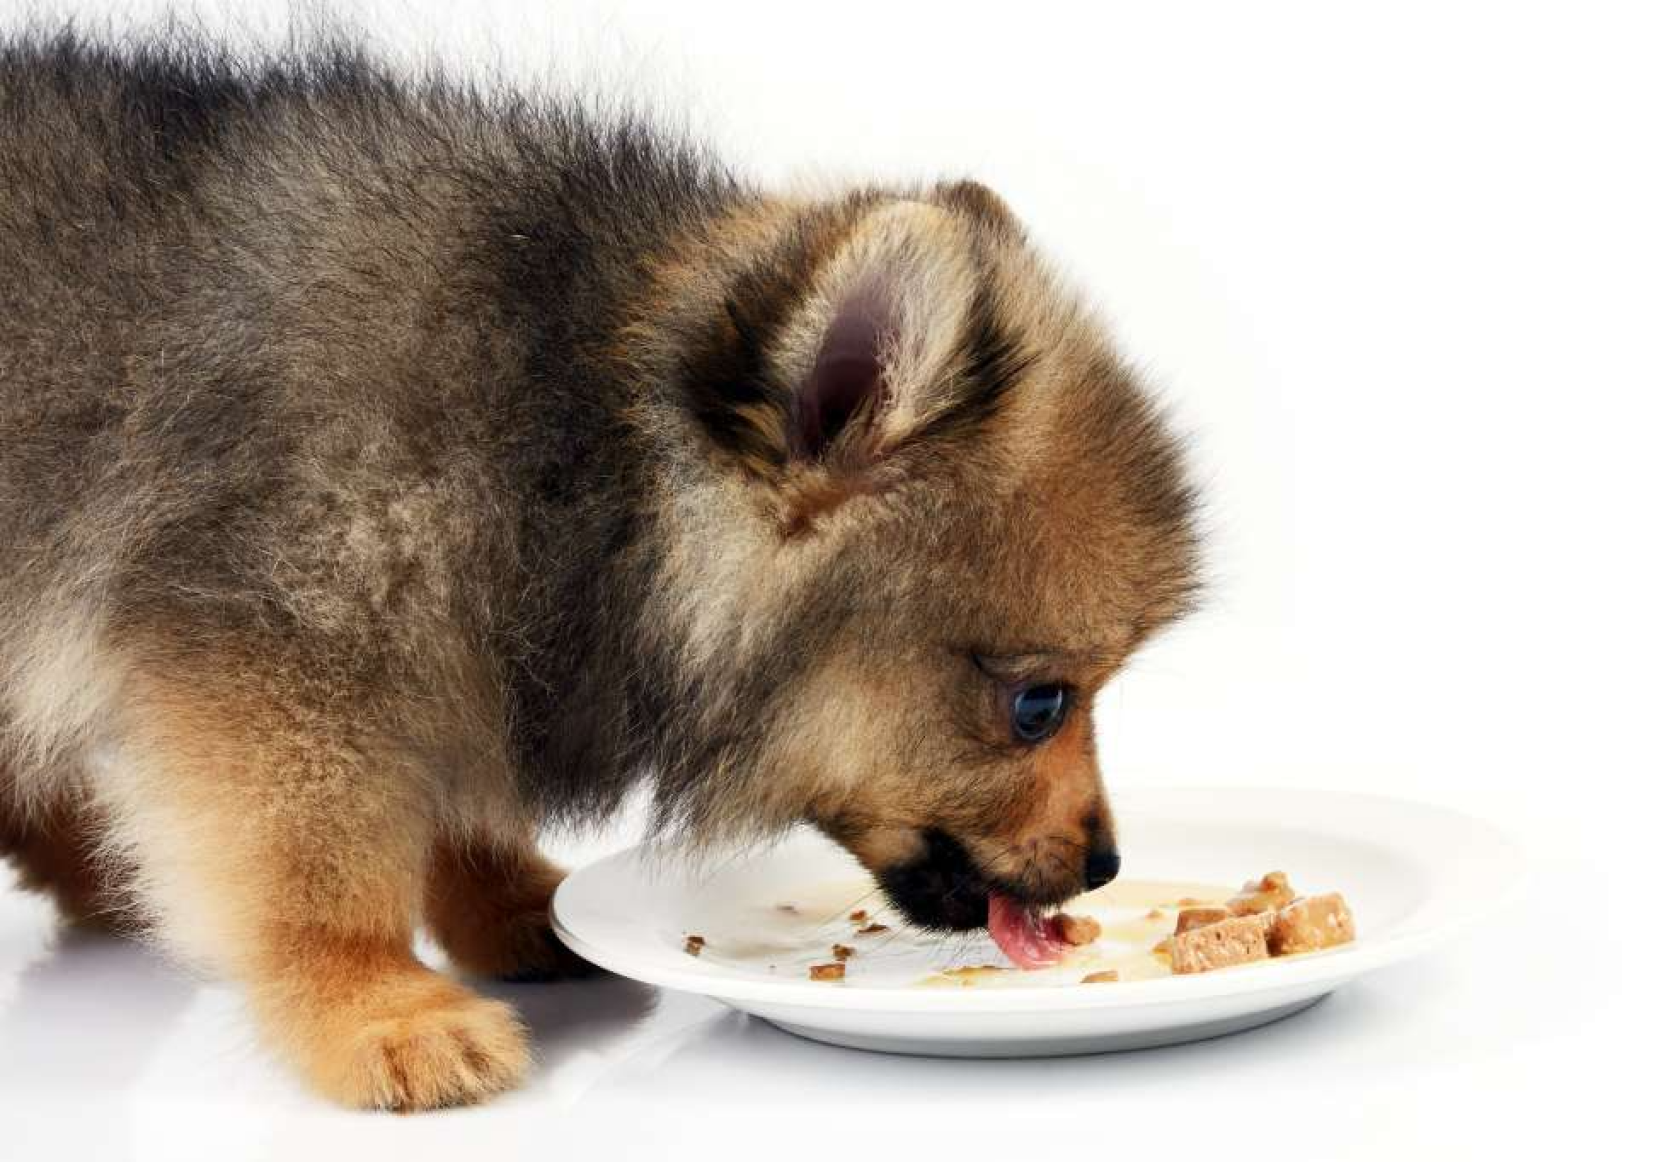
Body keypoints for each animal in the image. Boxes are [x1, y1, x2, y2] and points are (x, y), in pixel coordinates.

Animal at [0, 31, 1200, 1113]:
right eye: (1040, 705)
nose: (1106, 864)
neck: (575, 432)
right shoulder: (290, 633)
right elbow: (316, 857)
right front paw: (376, 1004)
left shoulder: (461, 630)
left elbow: (455, 793)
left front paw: (502, 901)